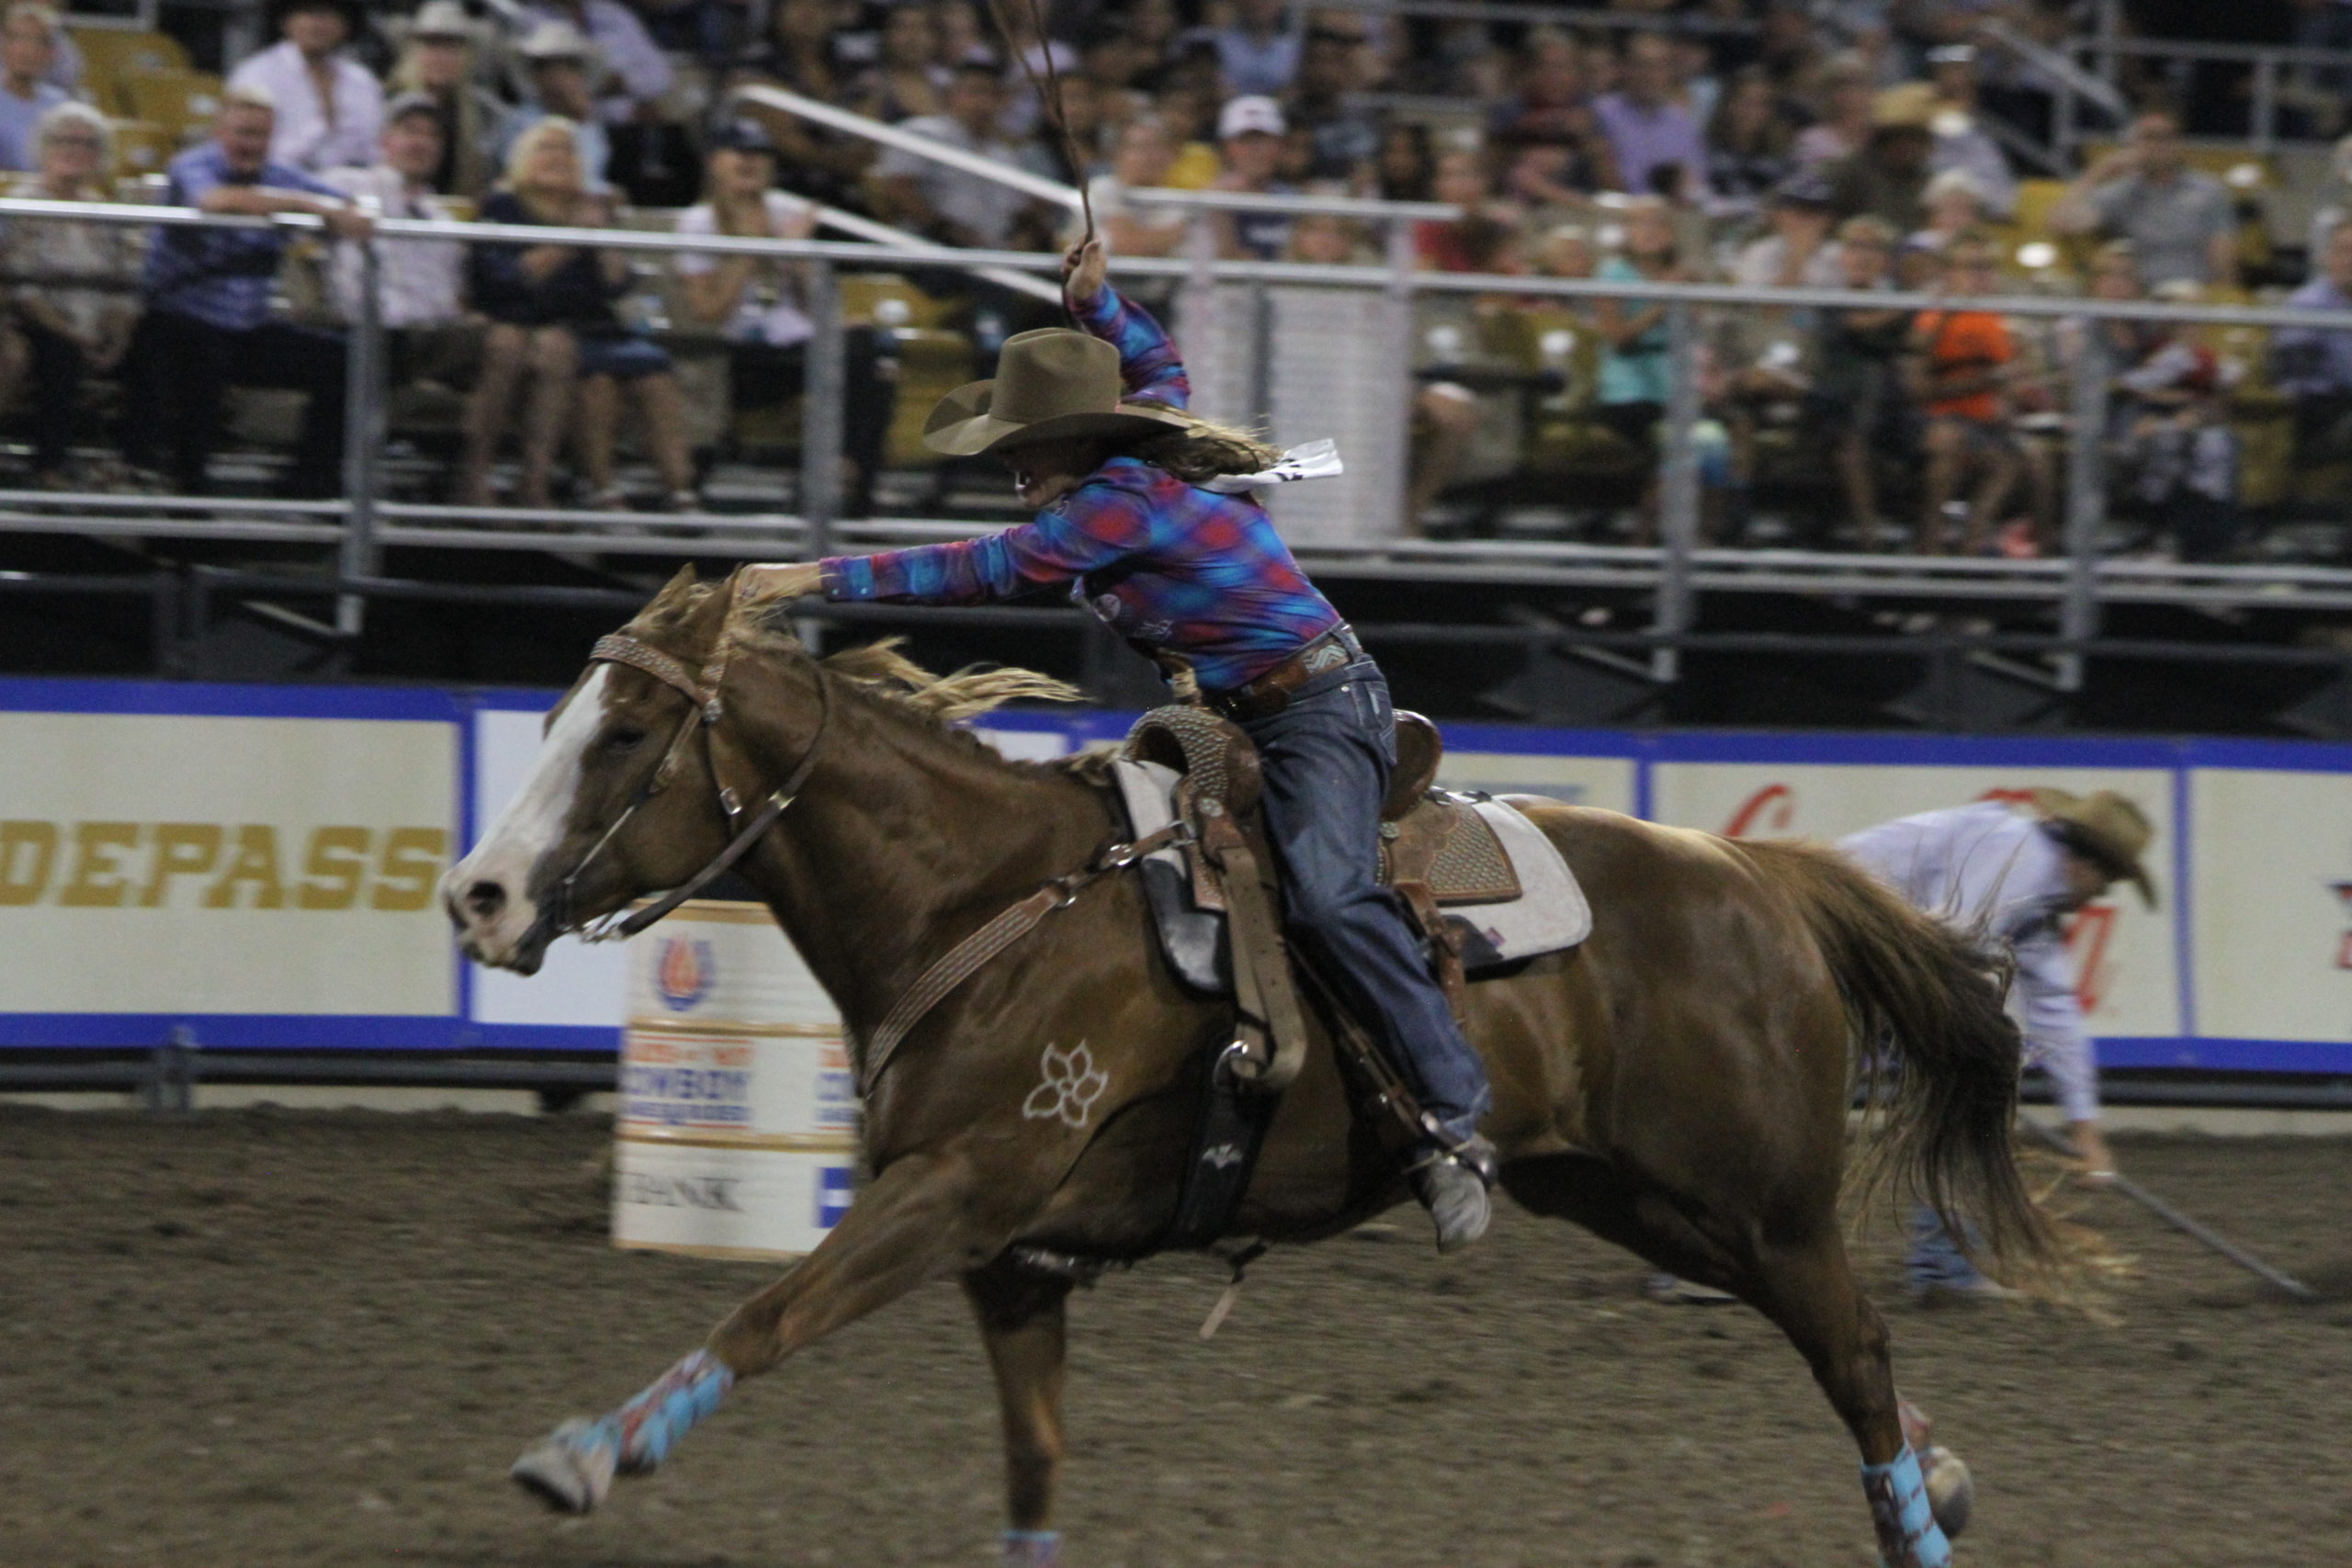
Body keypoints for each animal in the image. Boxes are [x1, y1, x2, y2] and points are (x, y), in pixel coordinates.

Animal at [444, 566, 2060, 1568]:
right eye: (555, 720)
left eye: (627, 733)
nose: (478, 895)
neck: (984, 899)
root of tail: (1758, 871)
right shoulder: (1012, 1260)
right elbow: (1033, 1466)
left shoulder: (956, 1189)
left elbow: (770, 1308)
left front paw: (582, 1456)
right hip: (1640, 1198)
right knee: (1832, 1344)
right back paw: (1949, 1472)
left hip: (1763, 1197)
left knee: (1853, 1349)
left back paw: (1919, 1510)